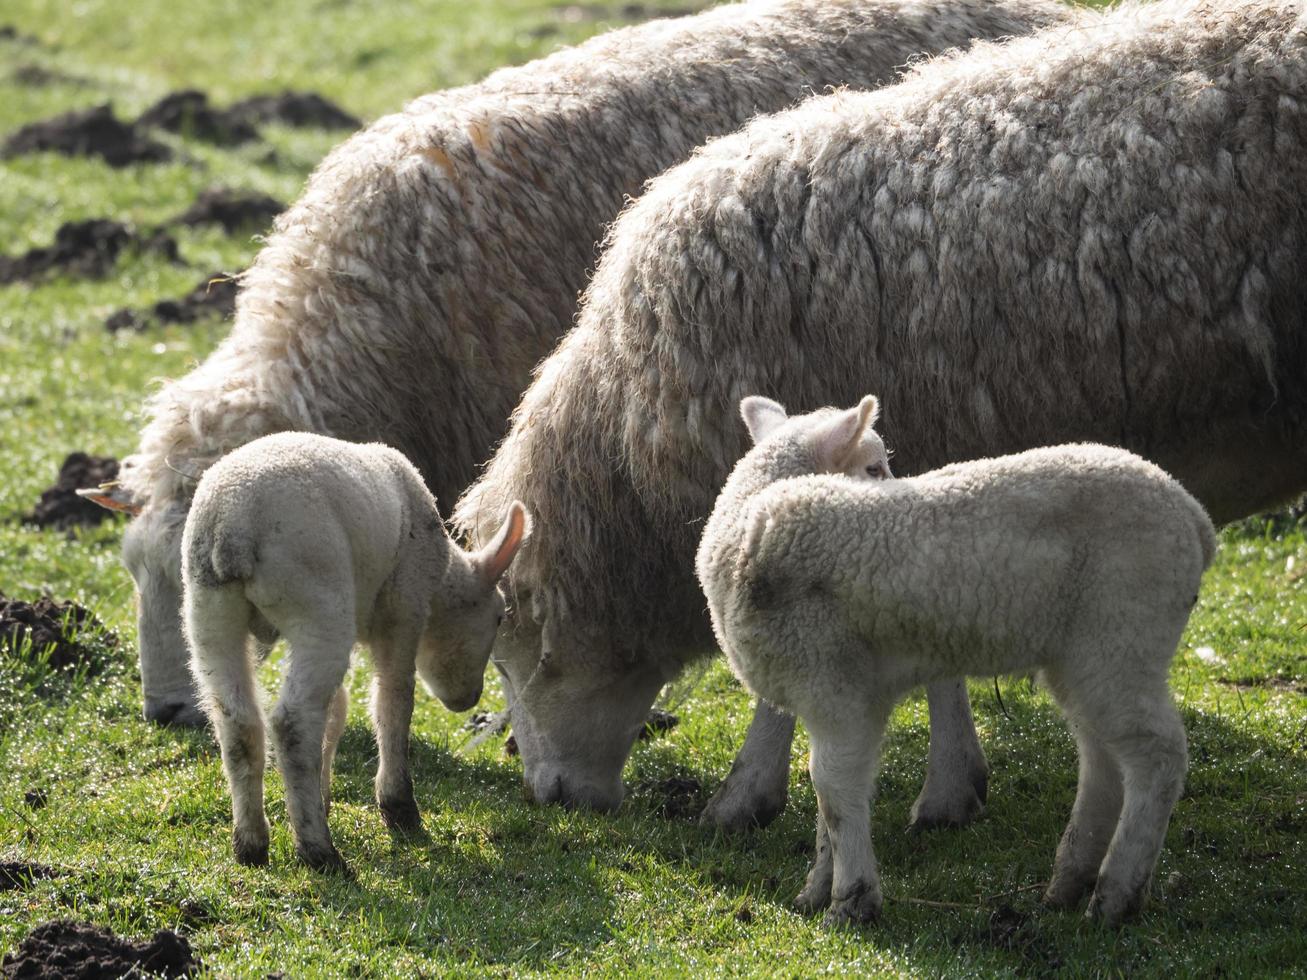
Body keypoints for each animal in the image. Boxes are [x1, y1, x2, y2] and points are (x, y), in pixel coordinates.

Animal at [181, 433, 528, 872]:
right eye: (499, 617)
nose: (469, 700)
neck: (441, 579)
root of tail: (233, 527)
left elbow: (337, 711)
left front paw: (324, 795)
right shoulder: (405, 605)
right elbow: (394, 701)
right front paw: (398, 808)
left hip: (208, 611)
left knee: (238, 724)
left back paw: (252, 843)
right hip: (318, 599)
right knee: (293, 723)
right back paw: (318, 850)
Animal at [695, 394, 1212, 930]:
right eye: (874, 467)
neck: (751, 525)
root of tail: (1193, 517)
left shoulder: (833, 686)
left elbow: (834, 791)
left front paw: (851, 901)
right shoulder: (844, 696)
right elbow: (829, 803)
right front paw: (817, 888)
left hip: (1123, 636)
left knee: (1158, 755)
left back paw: (1115, 894)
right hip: (1087, 655)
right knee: (1102, 760)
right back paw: (1070, 880)